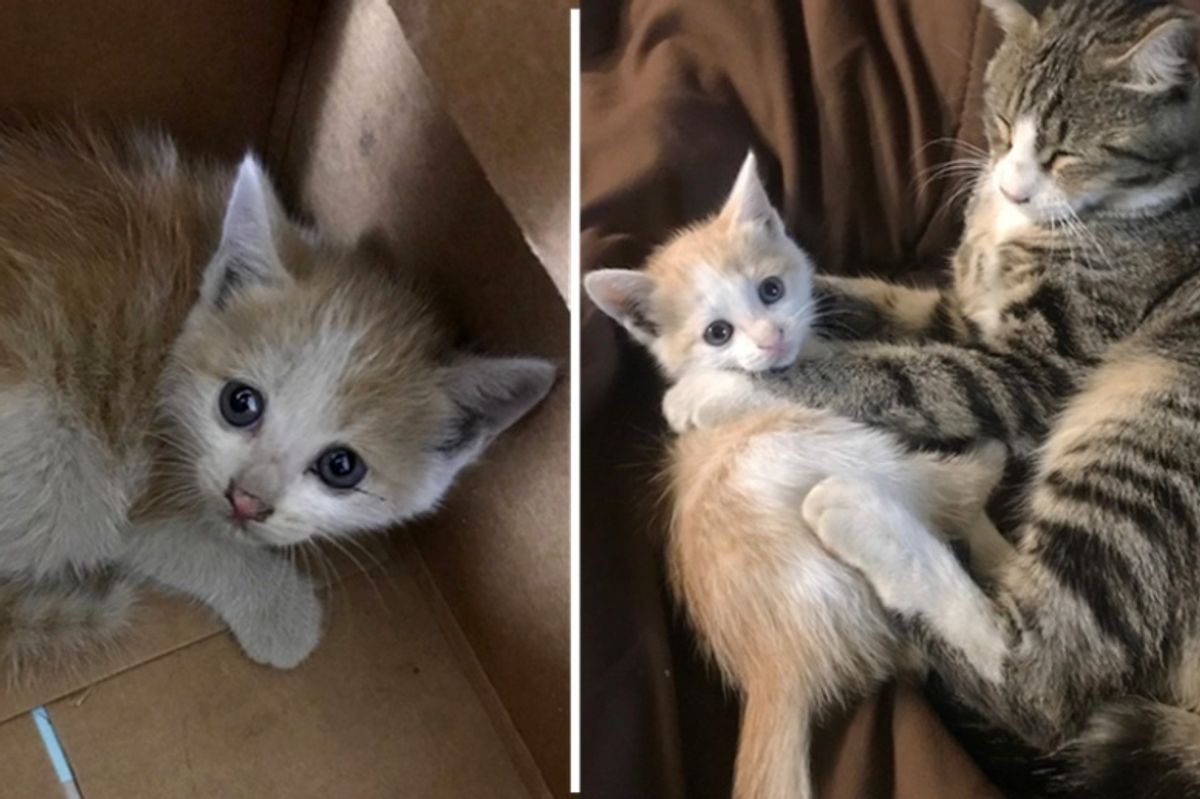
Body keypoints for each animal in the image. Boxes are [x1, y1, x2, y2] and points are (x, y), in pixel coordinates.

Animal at [0, 122, 552, 671]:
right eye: (239, 403)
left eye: (341, 467)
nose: (247, 500)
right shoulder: (138, 473)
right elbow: (178, 540)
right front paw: (281, 612)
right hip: (58, 463)